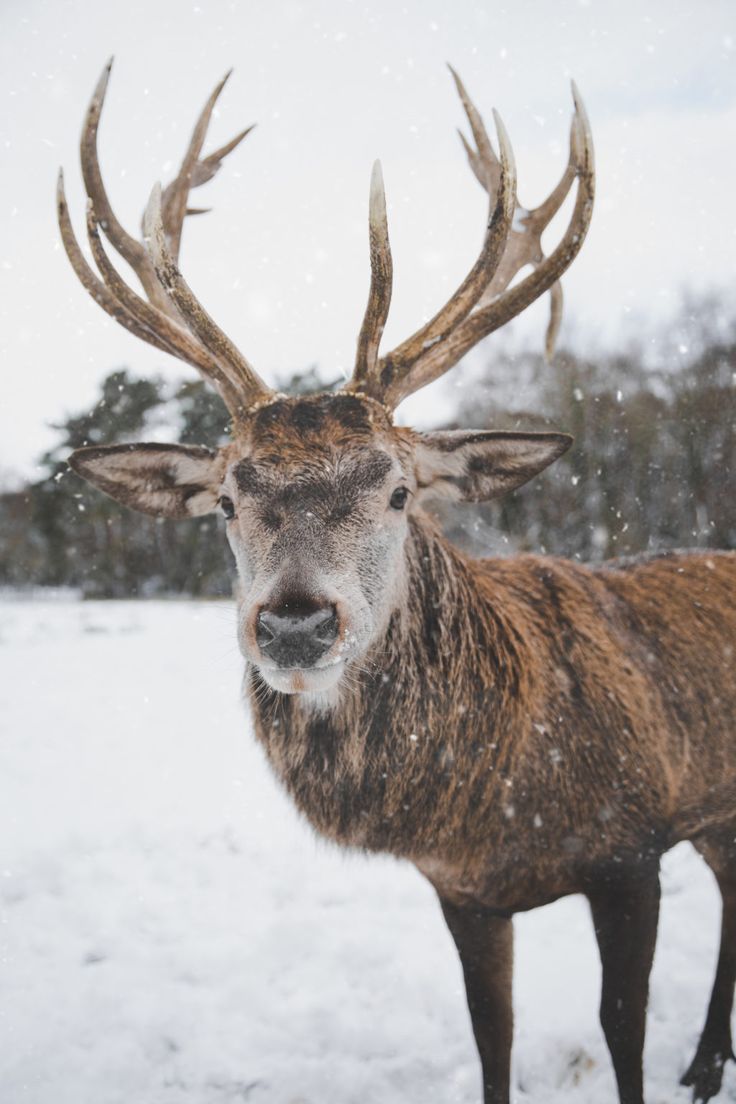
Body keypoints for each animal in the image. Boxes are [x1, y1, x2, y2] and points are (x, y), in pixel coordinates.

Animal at [58, 61, 736, 1104]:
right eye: (226, 499)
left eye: (399, 489)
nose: (295, 625)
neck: (500, 800)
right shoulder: (462, 890)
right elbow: (491, 1035)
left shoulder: (633, 845)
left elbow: (621, 1031)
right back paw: (705, 1063)